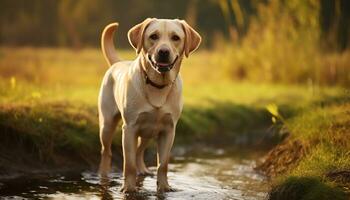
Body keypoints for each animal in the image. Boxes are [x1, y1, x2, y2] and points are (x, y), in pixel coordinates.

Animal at [98, 18, 201, 192]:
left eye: (175, 38)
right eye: (153, 36)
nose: (163, 52)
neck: (158, 86)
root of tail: (118, 63)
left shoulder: (168, 130)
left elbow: (163, 165)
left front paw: (164, 187)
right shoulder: (130, 129)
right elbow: (129, 164)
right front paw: (128, 188)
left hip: (149, 132)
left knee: (140, 151)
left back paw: (143, 170)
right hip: (107, 125)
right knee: (107, 152)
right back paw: (104, 176)